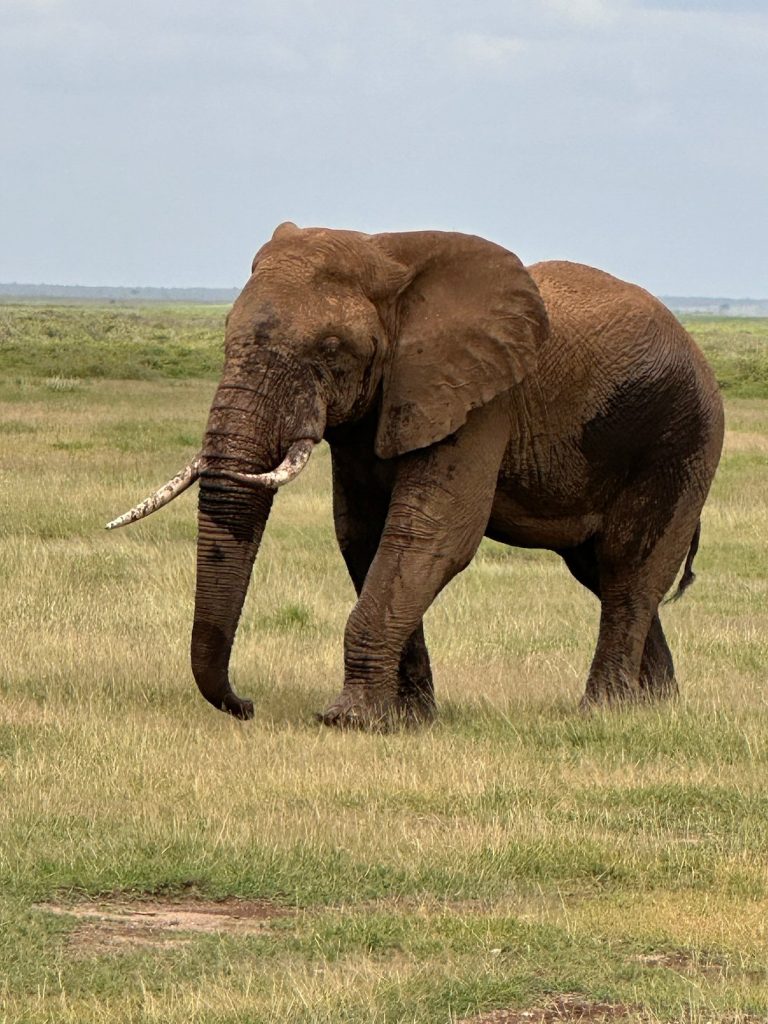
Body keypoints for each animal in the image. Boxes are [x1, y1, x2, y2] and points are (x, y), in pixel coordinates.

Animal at [108, 222, 729, 729]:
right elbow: (361, 535)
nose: (247, 705)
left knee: (628, 571)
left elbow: (431, 535)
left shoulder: (480, 398)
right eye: (225, 333)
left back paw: (604, 713)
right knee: (600, 572)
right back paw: (656, 708)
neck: (388, 257)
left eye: (330, 348)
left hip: (683, 438)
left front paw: (349, 721)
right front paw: (408, 720)